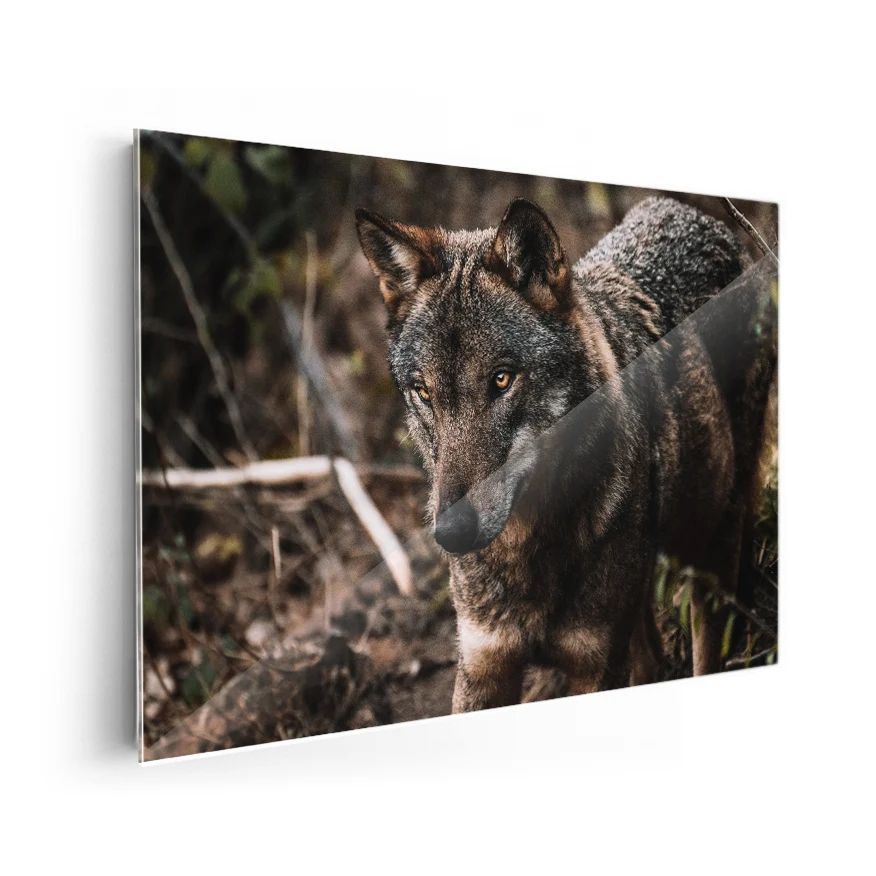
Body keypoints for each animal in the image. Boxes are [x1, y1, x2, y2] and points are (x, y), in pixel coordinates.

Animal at [356, 195, 777, 712]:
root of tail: (684, 209)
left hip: (712, 548)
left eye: (502, 379)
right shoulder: (483, 667)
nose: (451, 533)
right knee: (651, 655)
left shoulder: (595, 665)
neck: (528, 552)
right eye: (424, 393)